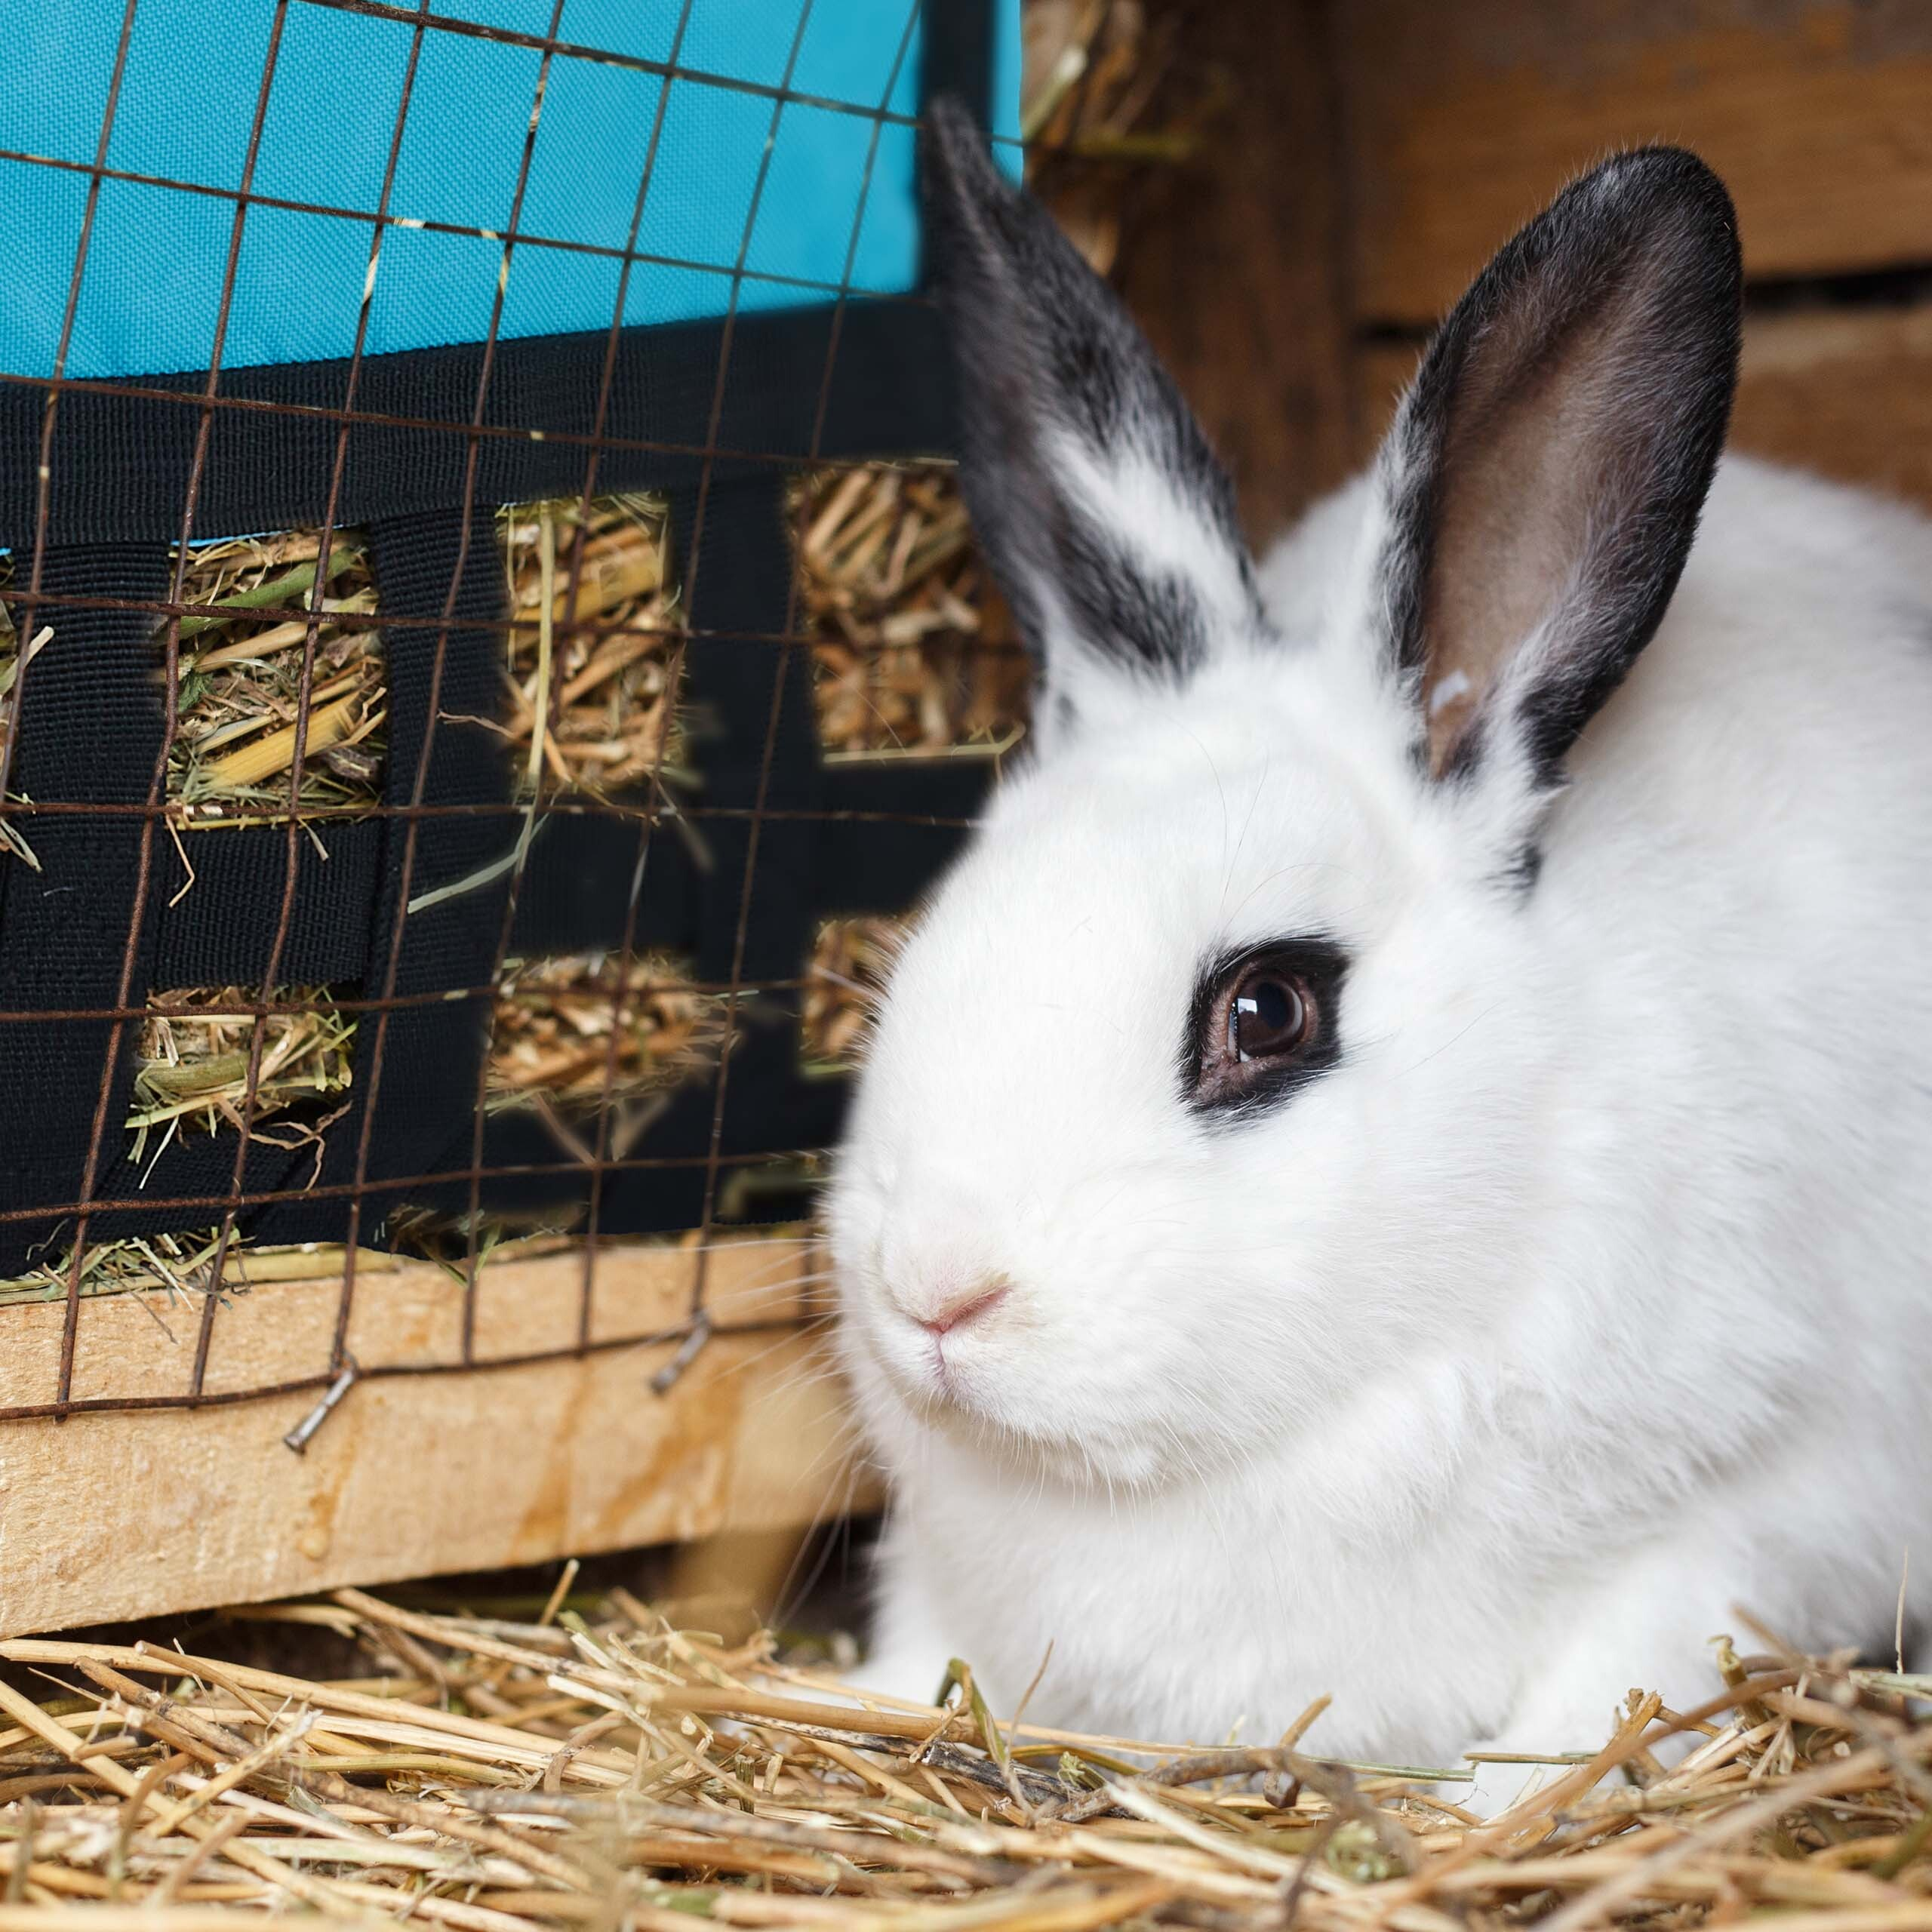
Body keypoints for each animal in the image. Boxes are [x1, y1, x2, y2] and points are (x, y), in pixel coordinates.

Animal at [826, 99, 1932, 1811]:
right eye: (952, 922)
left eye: (1269, 1009)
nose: (937, 1292)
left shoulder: (1771, 1508)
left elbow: (1621, 1674)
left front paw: (1492, 1804)